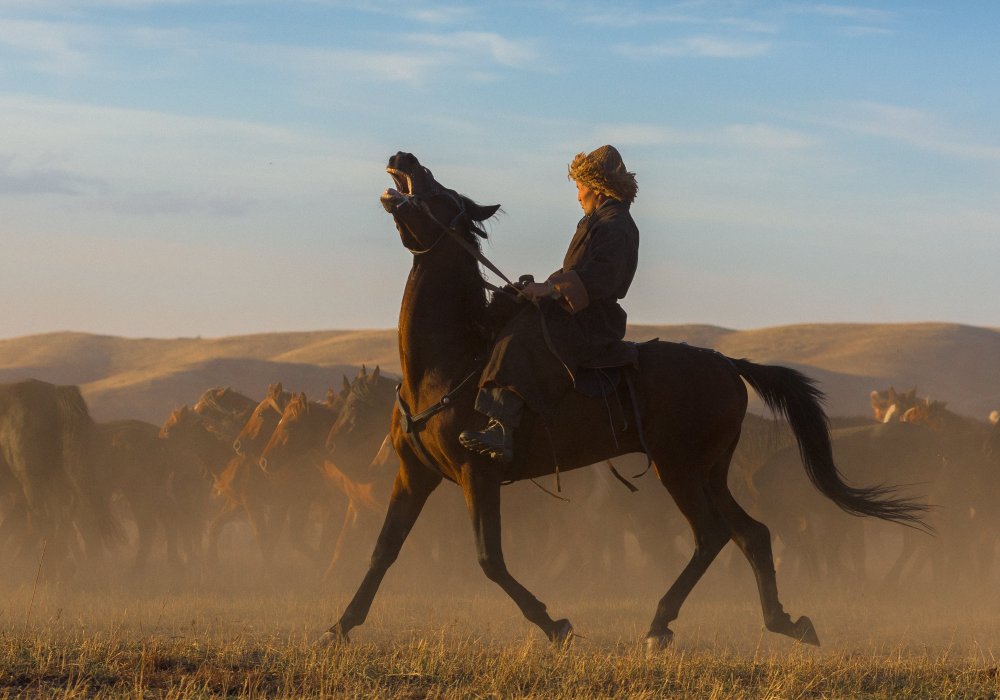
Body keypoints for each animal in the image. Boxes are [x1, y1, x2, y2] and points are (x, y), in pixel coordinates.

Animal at [322, 153, 928, 652]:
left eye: (439, 187)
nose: (404, 156)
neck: (445, 362)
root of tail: (728, 365)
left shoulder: (480, 473)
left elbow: (489, 559)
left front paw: (556, 625)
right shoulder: (415, 474)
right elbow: (383, 550)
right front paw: (340, 626)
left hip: (679, 467)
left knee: (711, 535)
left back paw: (661, 623)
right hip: (708, 469)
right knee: (750, 533)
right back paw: (783, 621)